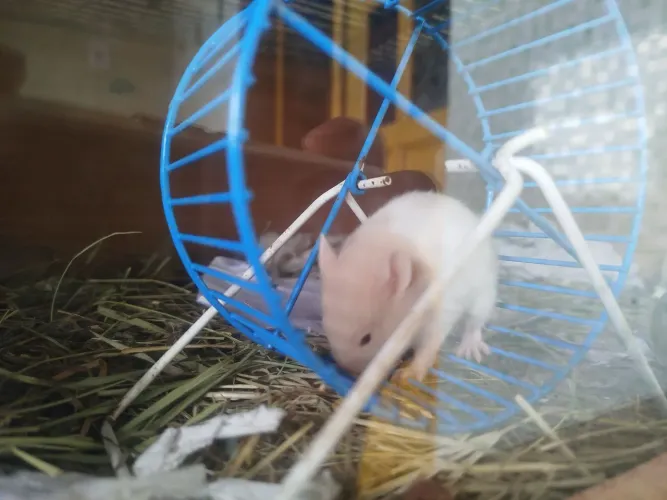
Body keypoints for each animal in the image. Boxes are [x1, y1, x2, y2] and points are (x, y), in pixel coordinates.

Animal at [317, 190, 498, 382]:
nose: (346, 370)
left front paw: (406, 375)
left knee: (474, 324)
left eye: (366, 339)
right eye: (325, 325)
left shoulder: (441, 314)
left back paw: (470, 350)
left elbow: (429, 347)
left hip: (484, 295)